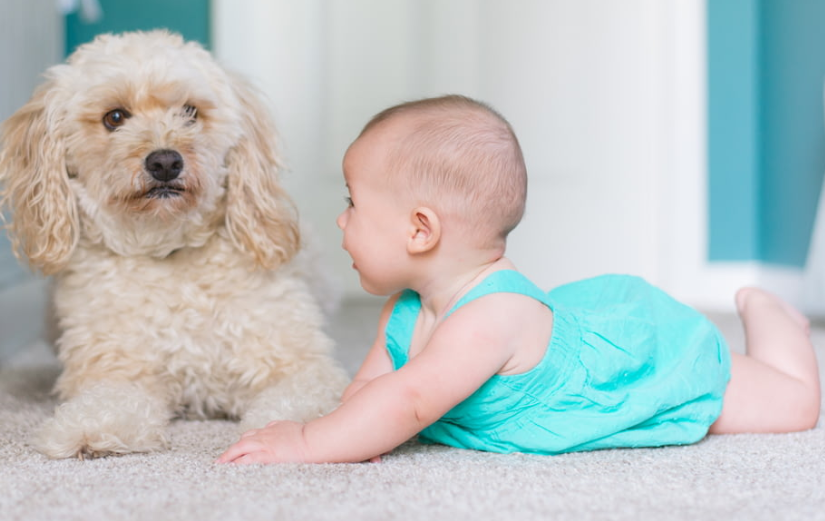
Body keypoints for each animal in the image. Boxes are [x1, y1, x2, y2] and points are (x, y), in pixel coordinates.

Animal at [0, 30, 350, 458]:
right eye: (114, 117)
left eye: (190, 112)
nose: (165, 162)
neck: (167, 251)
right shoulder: (117, 371)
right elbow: (109, 402)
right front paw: (89, 428)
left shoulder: (300, 365)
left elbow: (298, 401)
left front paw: (288, 433)